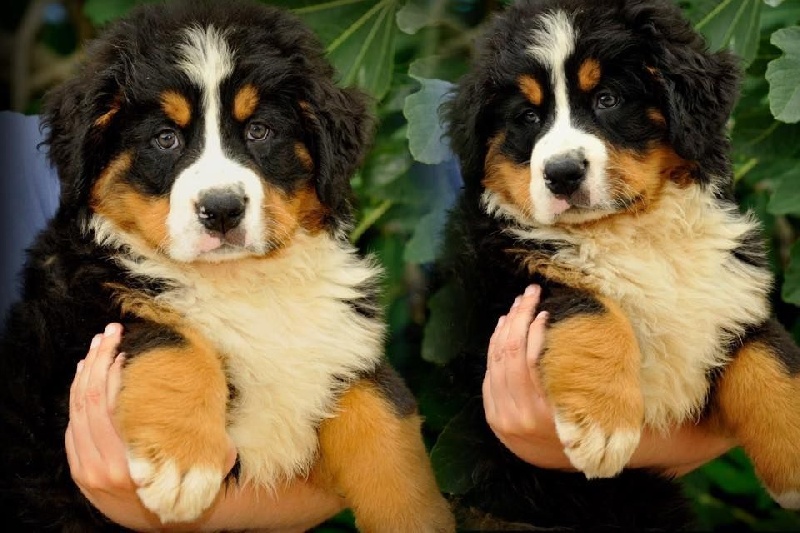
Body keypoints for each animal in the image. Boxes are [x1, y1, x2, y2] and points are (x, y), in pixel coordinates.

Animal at [0, 2, 454, 528]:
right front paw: (182, 462)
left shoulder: (340, 346)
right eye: (165, 139)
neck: (242, 283)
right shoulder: (79, 322)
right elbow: (172, 339)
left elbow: (384, 416)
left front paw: (419, 516)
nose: (221, 208)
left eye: (259, 131)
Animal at [438, 0, 800, 528]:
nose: (562, 173)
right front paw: (602, 427)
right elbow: (592, 308)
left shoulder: (728, 294)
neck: (629, 231)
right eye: (528, 116)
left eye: (607, 99)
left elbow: (772, 361)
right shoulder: (505, 285)